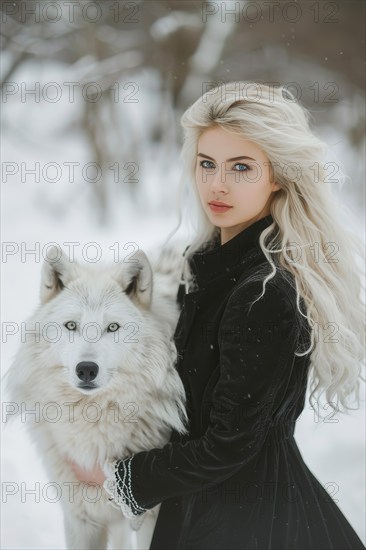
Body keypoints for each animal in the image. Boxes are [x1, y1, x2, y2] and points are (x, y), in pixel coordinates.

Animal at [4, 245, 189, 550]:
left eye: (112, 327)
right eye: (71, 325)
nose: (87, 369)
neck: (93, 419)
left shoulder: (149, 516)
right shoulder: (80, 518)